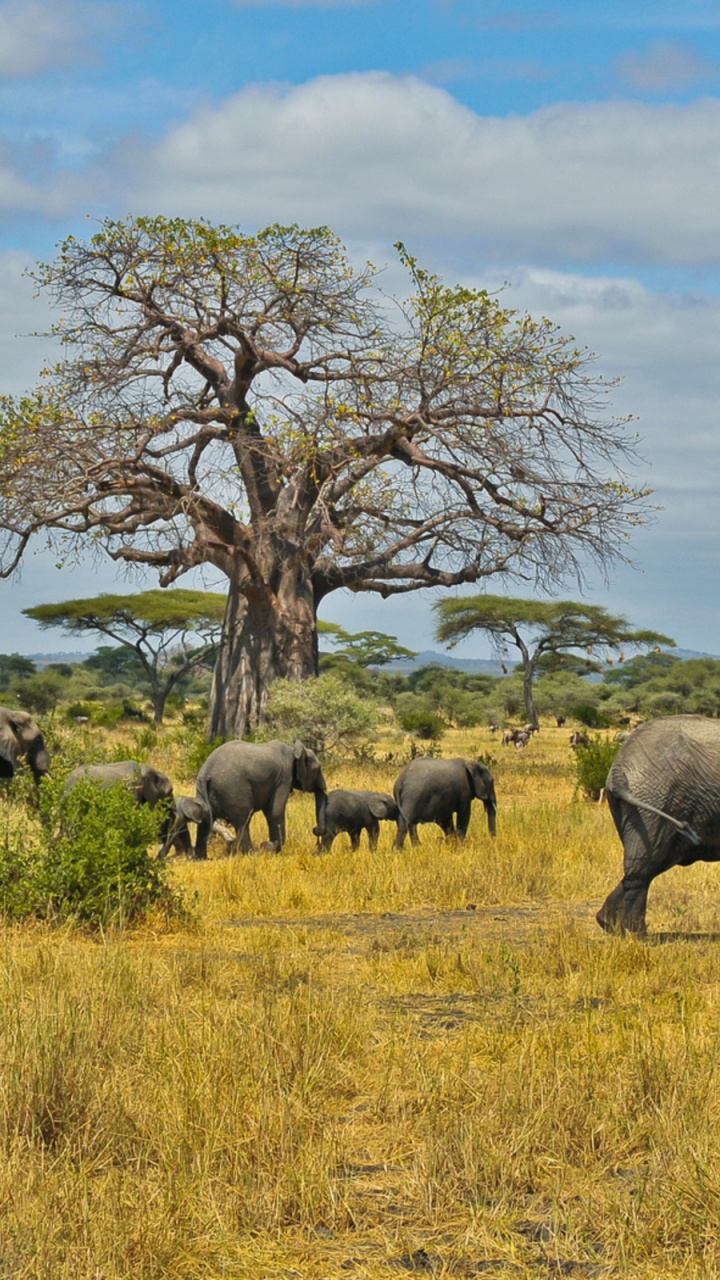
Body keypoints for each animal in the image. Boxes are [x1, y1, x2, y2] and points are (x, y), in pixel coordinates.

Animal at [193, 739, 327, 858]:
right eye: (318, 769)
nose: (316, 831)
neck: (294, 749)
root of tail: (206, 772)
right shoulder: (284, 778)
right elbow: (275, 811)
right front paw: (274, 850)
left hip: (203, 790)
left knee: (205, 821)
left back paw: (201, 858)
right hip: (234, 789)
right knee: (243, 821)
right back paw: (251, 855)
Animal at [596, 715, 720, 935]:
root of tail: (619, 770)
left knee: (644, 865)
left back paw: (610, 925)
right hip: (659, 799)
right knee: (647, 864)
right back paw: (634, 933)